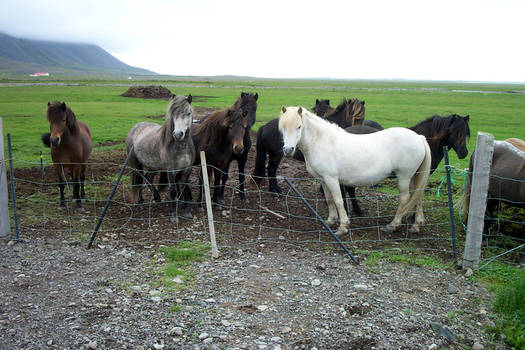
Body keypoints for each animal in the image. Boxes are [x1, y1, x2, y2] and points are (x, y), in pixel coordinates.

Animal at [126, 94, 195, 223]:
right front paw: (173, 215)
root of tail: (135, 127)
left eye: (189, 113)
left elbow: (184, 190)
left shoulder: (187, 170)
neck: (181, 147)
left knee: (147, 179)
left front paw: (187, 212)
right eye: (173, 113)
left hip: (153, 166)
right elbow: (173, 191)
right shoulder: (171, 171)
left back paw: (157, 199)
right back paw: (140, 201)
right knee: (139, 179)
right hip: (136, 164)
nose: (178, 134)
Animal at [278, 106, 430, 235]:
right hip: (414, 176)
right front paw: (330, 220)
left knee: (405, 198)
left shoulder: (331, 178)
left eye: (299, 126)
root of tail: (419, 137)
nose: (288, 150)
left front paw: (343, 227)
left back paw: (393, 225)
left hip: (404, 176)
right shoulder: (323, 179)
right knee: (418, 195)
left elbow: (338, 200)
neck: (321, 141)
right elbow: (329, 199)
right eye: (283, 128)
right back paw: (416, 225)